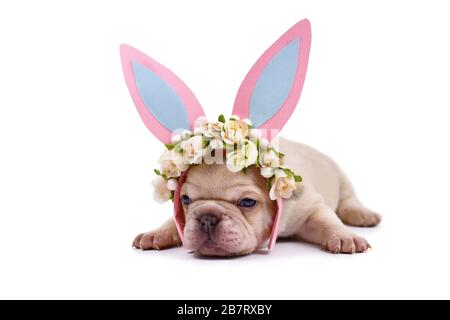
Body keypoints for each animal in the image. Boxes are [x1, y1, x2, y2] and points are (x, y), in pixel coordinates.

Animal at [133, 138, 380, 255]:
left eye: (247, 202)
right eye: (185, 200)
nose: (207, 218)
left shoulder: (310, 208)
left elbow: (328, 220)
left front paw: (344, 236)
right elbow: (174, 222)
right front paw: (157, 233)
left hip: (341, 178)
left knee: (348, 200)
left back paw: (363, 214)